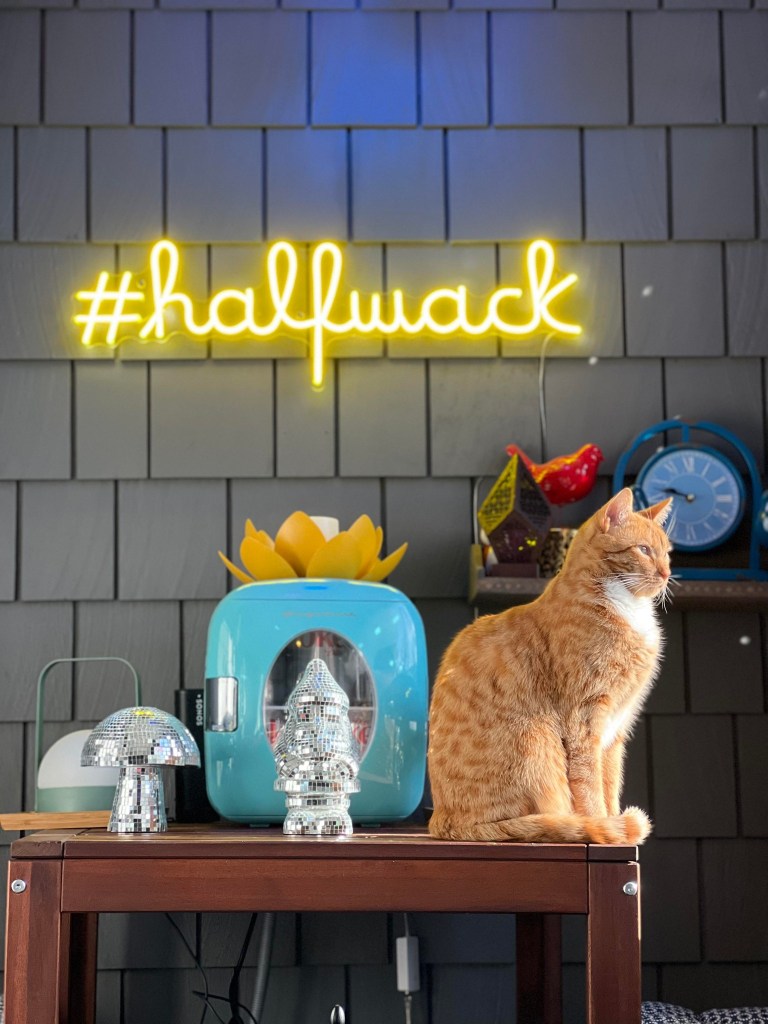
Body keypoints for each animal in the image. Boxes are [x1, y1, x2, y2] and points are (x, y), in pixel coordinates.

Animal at [427, 487, 672, 845]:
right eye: (643, 550)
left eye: (668, 554)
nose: (667, 574)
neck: (625, 609)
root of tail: (443, 822)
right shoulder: (585, 719)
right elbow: (589, 786)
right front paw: (603, 825)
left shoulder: (616, 729)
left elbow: (610, 784)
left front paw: (615, 824)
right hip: (536, 733)